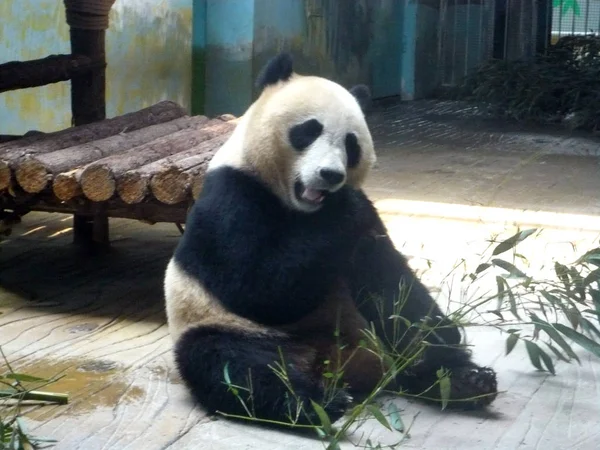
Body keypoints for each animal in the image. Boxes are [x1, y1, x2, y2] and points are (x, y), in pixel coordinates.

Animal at [164, 53, 496, 428]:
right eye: (309, 130)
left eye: (351, 145)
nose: (330, 176)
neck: (302, 209)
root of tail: (338, 366)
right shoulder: (232, 195)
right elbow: (257, 288)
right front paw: (345, 204)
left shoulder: (360, 239)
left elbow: (396, 287)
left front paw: (441, 340)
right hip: (224, 326)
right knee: (233, 365)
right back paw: (314, 403)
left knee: (394, 323)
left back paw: (461, 381)